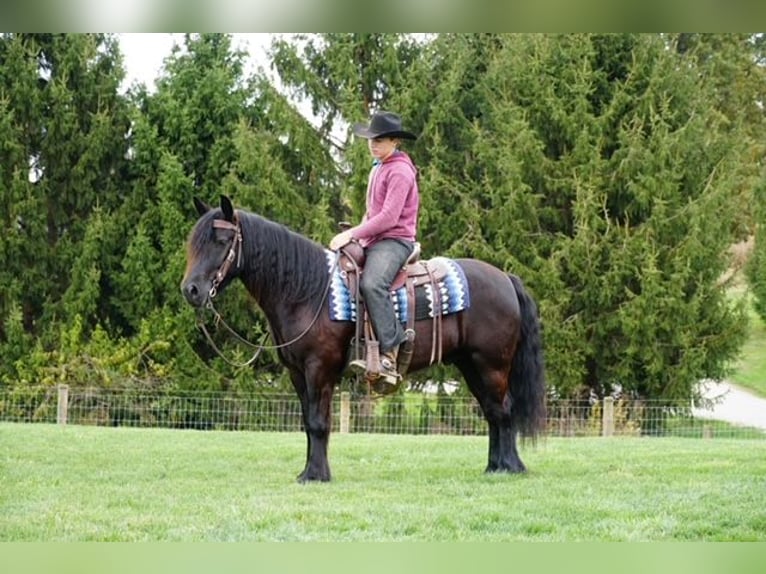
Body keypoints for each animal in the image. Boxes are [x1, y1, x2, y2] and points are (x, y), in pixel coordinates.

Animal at [181, 195, 546, 482]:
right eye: (193, 242)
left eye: (221, 242)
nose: (191, 290)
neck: (307, 290)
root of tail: (505, 278)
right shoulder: (297, 372)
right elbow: (307, 422)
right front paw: (308, 471)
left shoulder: (320, 368)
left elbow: (318, 422)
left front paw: (316, 475)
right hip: (471, 365)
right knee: (492, 411)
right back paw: (494, 467)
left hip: (492, 364)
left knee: (504, 411)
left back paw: (510, 467)